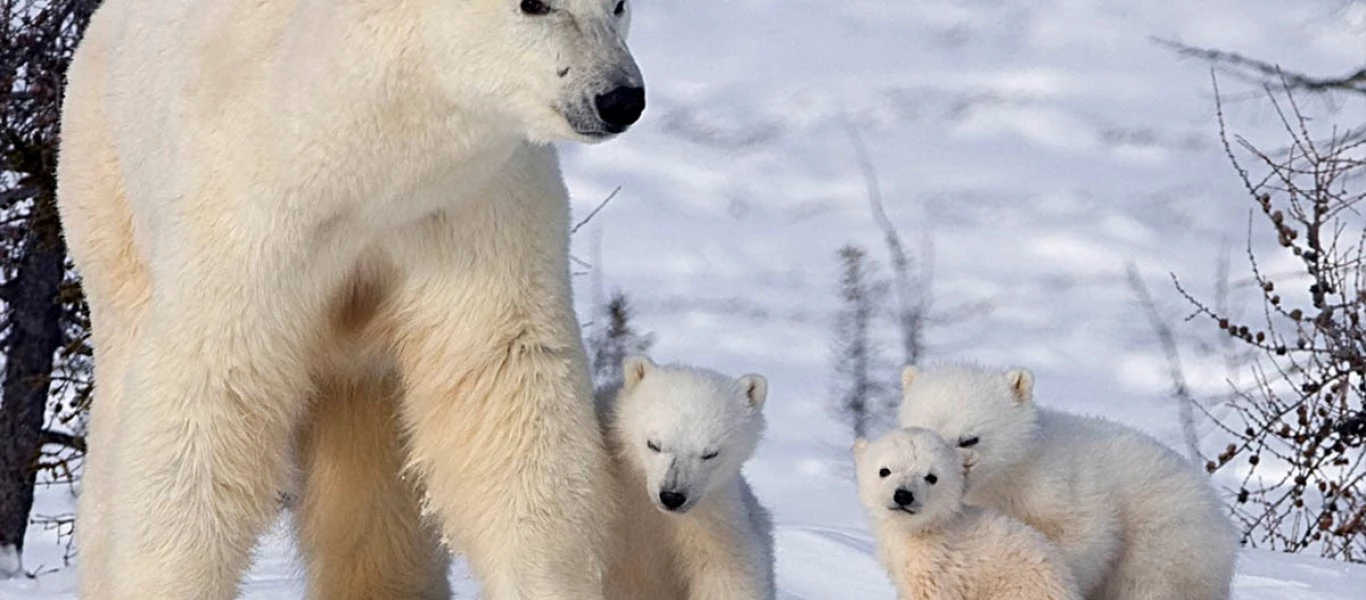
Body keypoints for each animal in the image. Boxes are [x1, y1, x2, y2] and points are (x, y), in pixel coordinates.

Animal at [56, 0, 647, 595]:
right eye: (533, 5)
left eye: (619, 5)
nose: (621, 97)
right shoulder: (249, 226)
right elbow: (210, 396)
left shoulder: (474, 216)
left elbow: (503, 384)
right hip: (106, 195)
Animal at [896, 366, 1240, 600]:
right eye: (923, 431)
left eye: (969, 439)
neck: (1011, 475)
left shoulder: (1062, 490)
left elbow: (1081, 539)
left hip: (1168, 541)